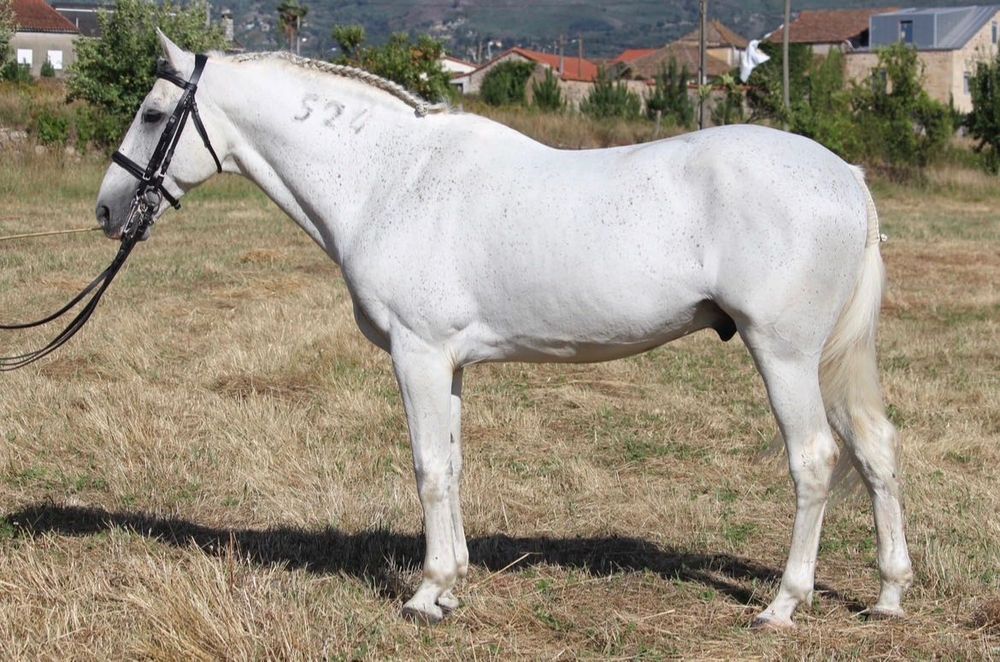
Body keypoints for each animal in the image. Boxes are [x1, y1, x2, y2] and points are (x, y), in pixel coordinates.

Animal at [94, 33, 912, 627]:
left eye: (153, 115)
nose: (106, 211)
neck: (390, 179)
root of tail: (846, 177)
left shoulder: (417, 354)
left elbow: (427, 467)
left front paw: (425, 595)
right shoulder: (449, 362)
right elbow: (453, 465)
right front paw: (452, 584)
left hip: (784, 353)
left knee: (815, 461)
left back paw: (782, 605)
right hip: (828, 359)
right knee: (874, 448)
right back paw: (888, 596)